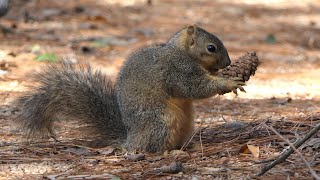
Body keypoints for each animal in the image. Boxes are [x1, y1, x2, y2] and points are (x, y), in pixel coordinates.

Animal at [16, 25, 249, 152]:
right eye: (211, 48)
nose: (229, 63)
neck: (181, 51)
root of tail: (130, 139)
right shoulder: (177, 70)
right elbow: (193, 87)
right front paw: (228, 82)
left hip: (185, 123)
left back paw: (188, 147)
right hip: (161, 120)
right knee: (152, 148)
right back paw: (172, 154)